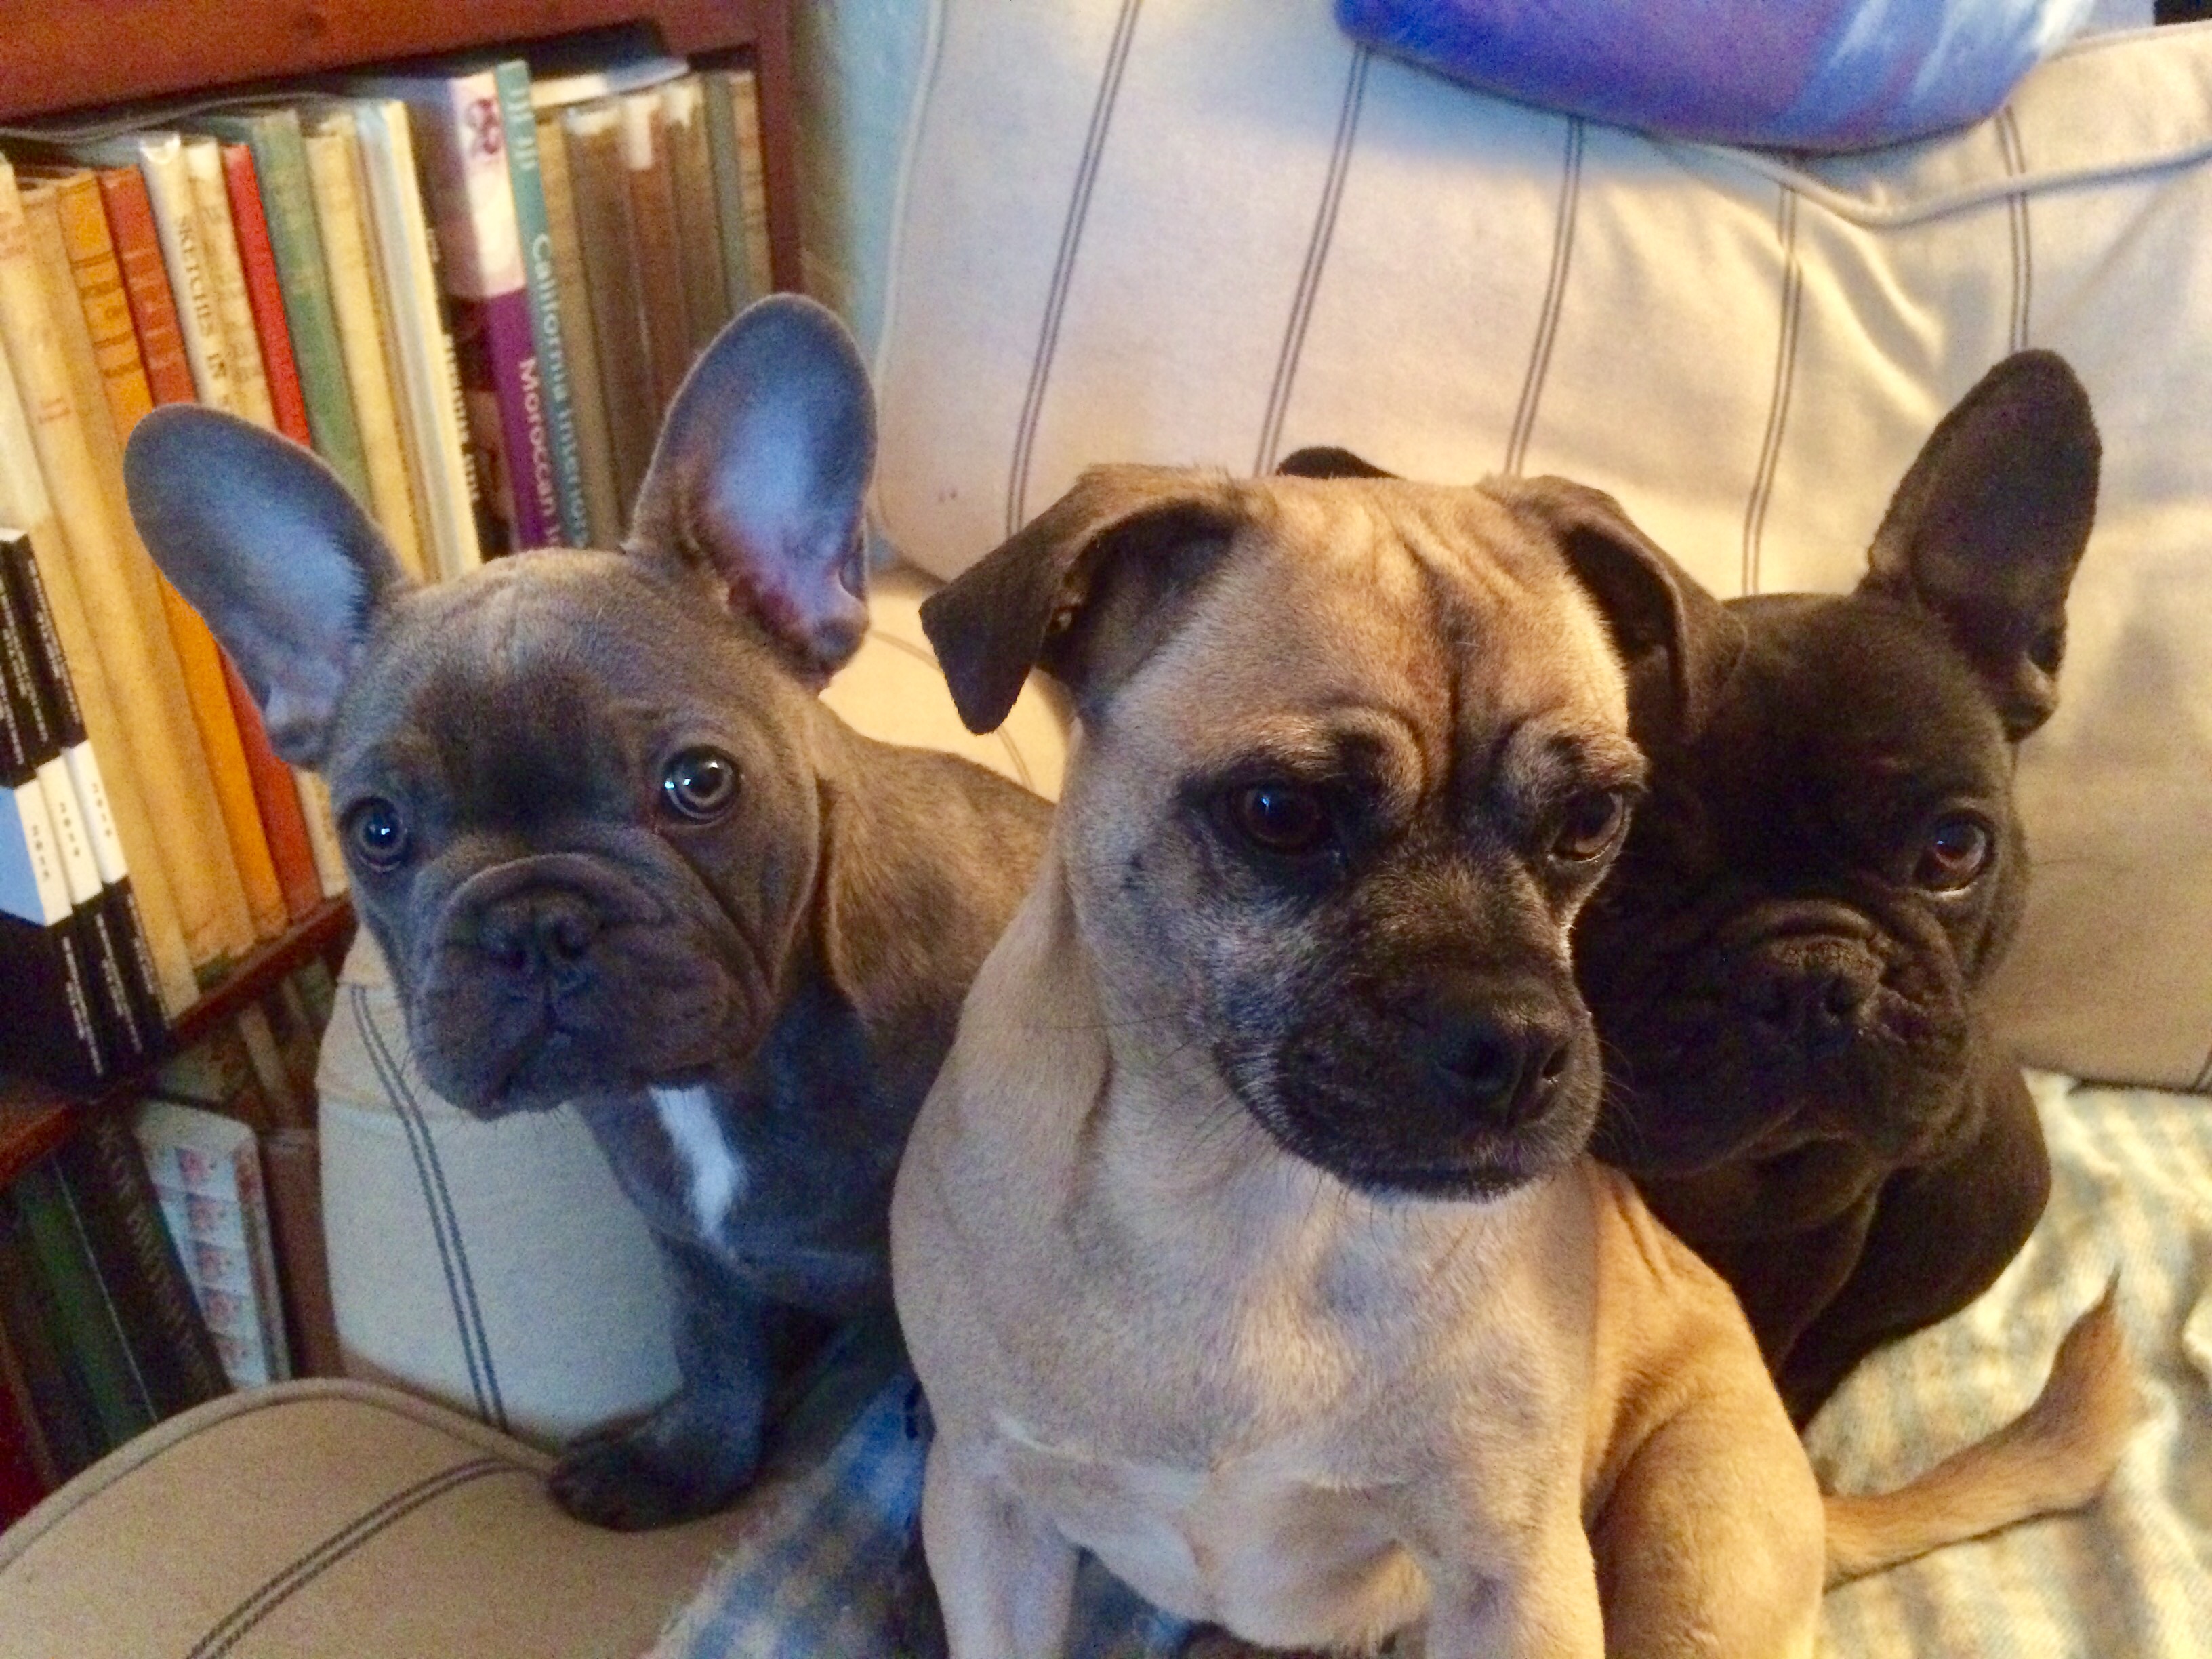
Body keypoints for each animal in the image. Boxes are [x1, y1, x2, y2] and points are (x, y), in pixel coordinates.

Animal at [124, 296, 1052, 1530]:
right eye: (377, 829)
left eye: (699, 782)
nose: (533, 921)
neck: (720, 1079)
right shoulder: (687, 1249)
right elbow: (713, 1361)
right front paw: (683, 1466)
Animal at [890, 462, 2133, 1657]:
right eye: (1278, 811)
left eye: (1592, 820)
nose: (1522, 1041)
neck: (1244, 1208)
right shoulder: (990, 1514)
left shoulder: (1513, 1577)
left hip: (1695, 1542)